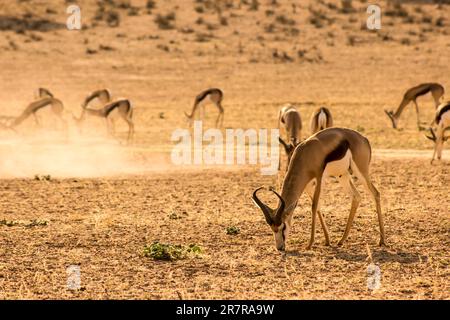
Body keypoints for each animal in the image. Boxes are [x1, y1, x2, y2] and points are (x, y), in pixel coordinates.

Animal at [253, 126, 386, 251]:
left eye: (283, 226)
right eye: (272, 228)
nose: (280, 248)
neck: (305, 153)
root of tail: (364, 139)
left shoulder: (319, 178)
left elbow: (314, 206)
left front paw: (310, 244)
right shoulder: (308, 185)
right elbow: (318, 207)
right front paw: (327, 241)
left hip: (360, 172)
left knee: (376, 193)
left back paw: (382, 241)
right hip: (342, 176)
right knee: (356, 196)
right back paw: (341, 240)